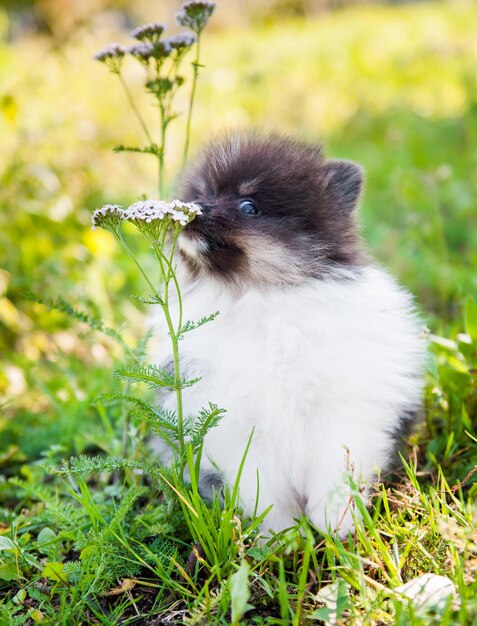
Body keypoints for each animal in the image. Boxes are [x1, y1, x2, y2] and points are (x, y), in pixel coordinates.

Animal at [154, 129, 422, 532]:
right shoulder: (239, 425)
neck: (259, 297)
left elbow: (337, 464)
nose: (194, 208)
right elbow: (261, 486)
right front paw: (281, 534)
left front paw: (336, 522)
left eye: (249, 206)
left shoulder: (343, 406)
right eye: (201, 193)